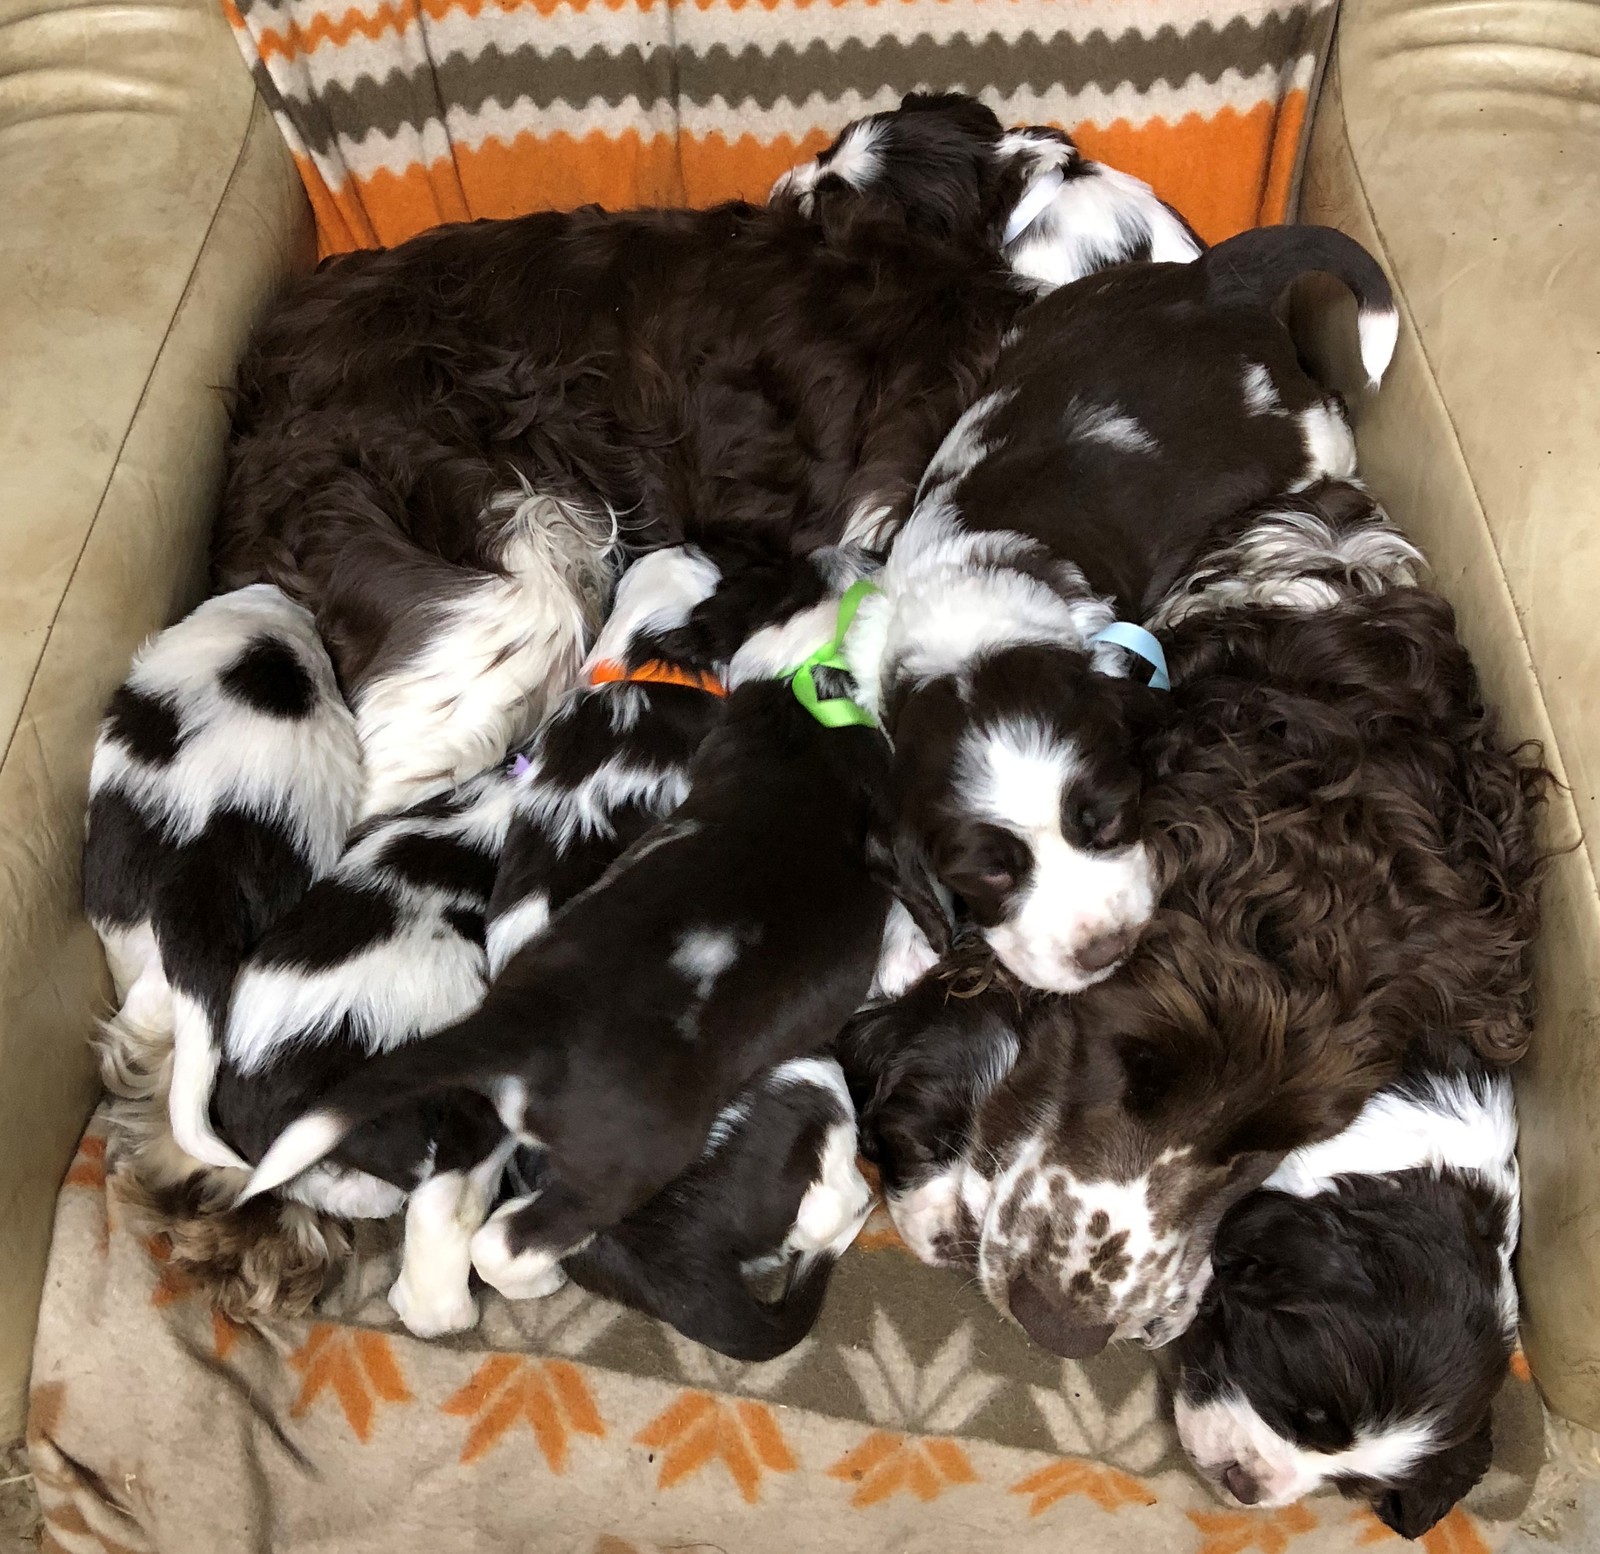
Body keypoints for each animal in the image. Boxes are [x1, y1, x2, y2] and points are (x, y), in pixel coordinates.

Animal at [239, 548, 893, 1323]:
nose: (696, 547)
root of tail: (523, 1023)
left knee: (446, 1204)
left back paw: (436, 1304)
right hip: (661, 1149)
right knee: (509, 1238)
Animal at [857, 227, 1400, 994]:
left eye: (1107, 818)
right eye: (989, 872)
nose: (1102, 951)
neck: (977, 624)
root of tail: (1211, 280)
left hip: (1316, 440)